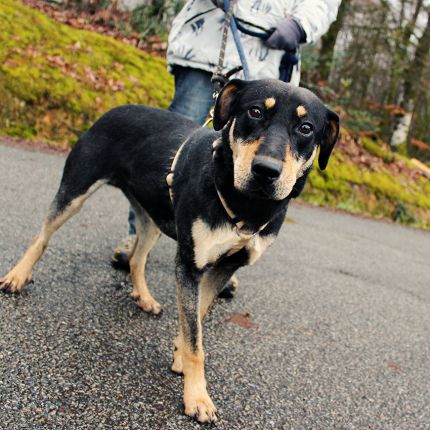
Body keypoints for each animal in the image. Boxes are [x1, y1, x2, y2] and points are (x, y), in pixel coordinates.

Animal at [0, 79, 338, 422]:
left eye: (306, 128)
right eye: (254, 112)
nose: (266, 170)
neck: (247, 205)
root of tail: (117, 107)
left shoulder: (223, 267)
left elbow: (196, 320)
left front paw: (180, 357)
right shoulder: (190, 263)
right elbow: (195, 342)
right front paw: (197, 396)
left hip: (151, 217)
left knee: (137, 258)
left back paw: (144, 297)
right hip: (75, 190)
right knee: (42, 237)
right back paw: (17, 276)